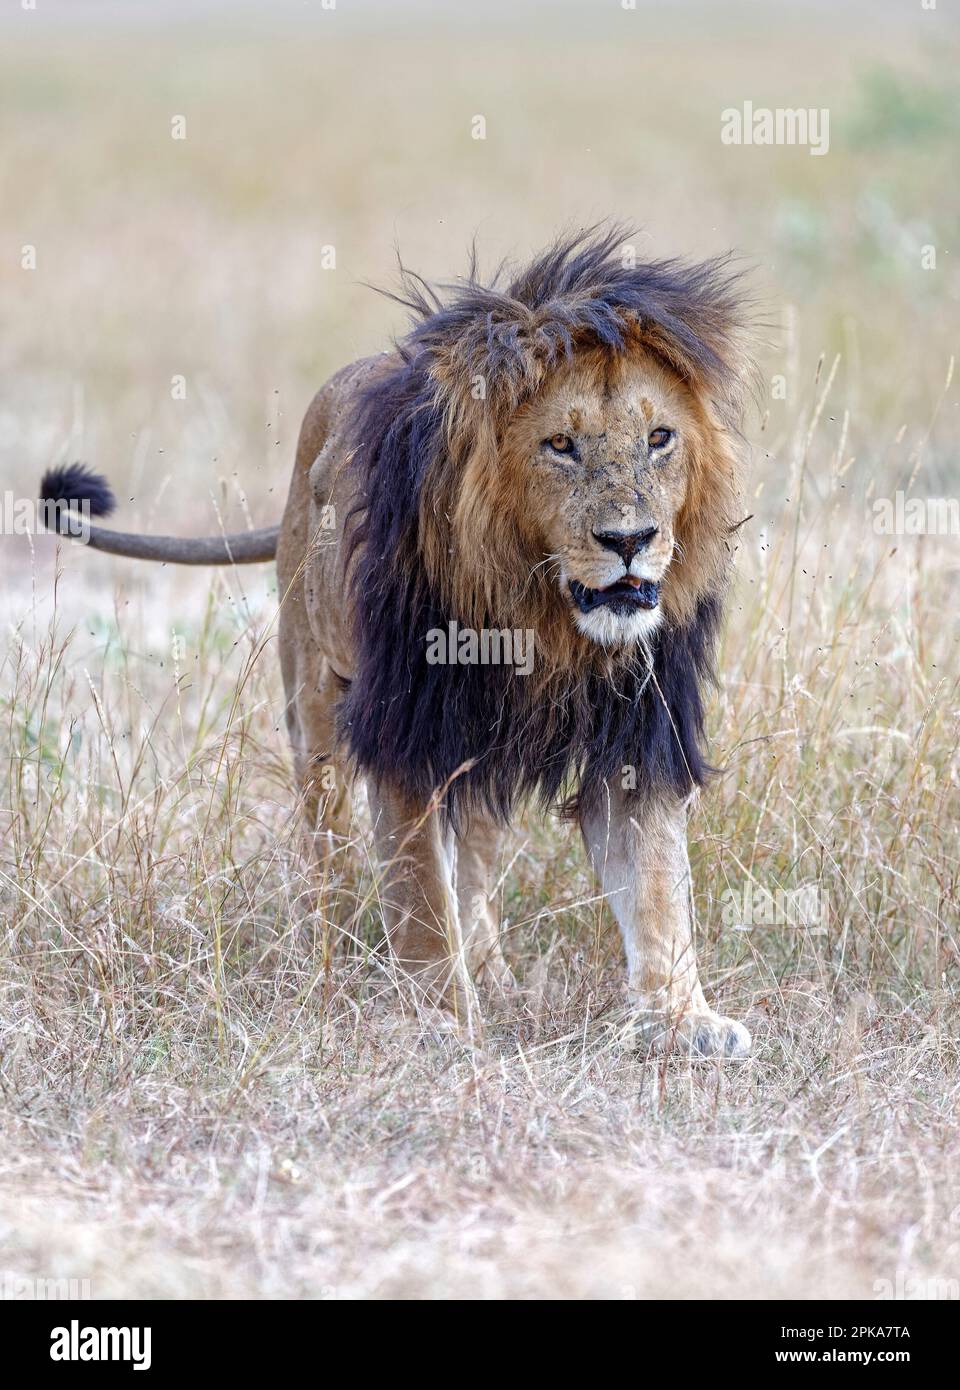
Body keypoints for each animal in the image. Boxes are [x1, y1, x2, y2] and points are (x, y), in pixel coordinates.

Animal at [40, 226, 755, 1057]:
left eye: (660, 438)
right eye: (560, 445)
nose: (632, 541)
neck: (540, 619)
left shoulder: (640, 729)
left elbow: (657, 883)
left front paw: (681, 1017)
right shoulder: (406, 728)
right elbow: (418, 891)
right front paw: (442, 1019)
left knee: (473, 853)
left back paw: (492, 970)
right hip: (314, 696)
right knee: (329, 844)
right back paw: (334, 954)